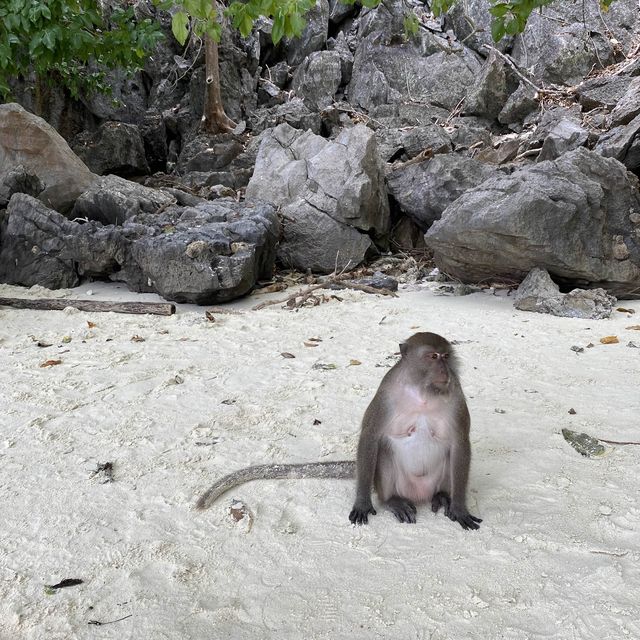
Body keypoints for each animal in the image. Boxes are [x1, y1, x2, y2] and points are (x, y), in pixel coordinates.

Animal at [195, 332, 480, 532]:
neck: (423, 393)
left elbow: (459, 443)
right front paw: (362, 502)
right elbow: (370, 437)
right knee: (384, 452)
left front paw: (459, 507)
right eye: (433, 357)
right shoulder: (386, 394)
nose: (445, 370)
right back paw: (392, 501)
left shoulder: (456, 396)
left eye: (447, 357)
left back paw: (443, 496)